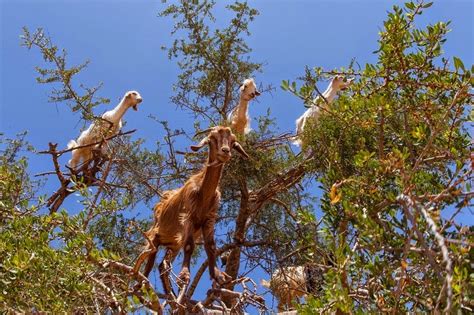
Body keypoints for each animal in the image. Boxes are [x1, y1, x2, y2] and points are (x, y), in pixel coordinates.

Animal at [133, 126, 248, 296]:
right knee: (149, 258)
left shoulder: (209, 220)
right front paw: (184, 276)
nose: (225, 151)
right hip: (155, 235)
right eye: (212, 139)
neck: (203, 194)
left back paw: (170, 293)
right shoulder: (188, 217)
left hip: (173, 243)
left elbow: (211, 246)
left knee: (162, 264)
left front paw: (217, 275)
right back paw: (141, 285)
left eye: (233, 142)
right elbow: (189, 246)